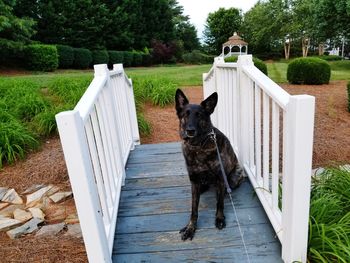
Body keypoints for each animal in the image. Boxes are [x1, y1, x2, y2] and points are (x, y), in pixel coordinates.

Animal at [175, 88, 243, 241]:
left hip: (235, 175)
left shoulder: (220, 178)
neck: (198, 146)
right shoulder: (194, 181)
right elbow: (194, 209)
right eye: (185, 114)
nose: (190, 130)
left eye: (199, 115)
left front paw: (219, 219)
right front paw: (190, 227)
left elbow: (219, 203)